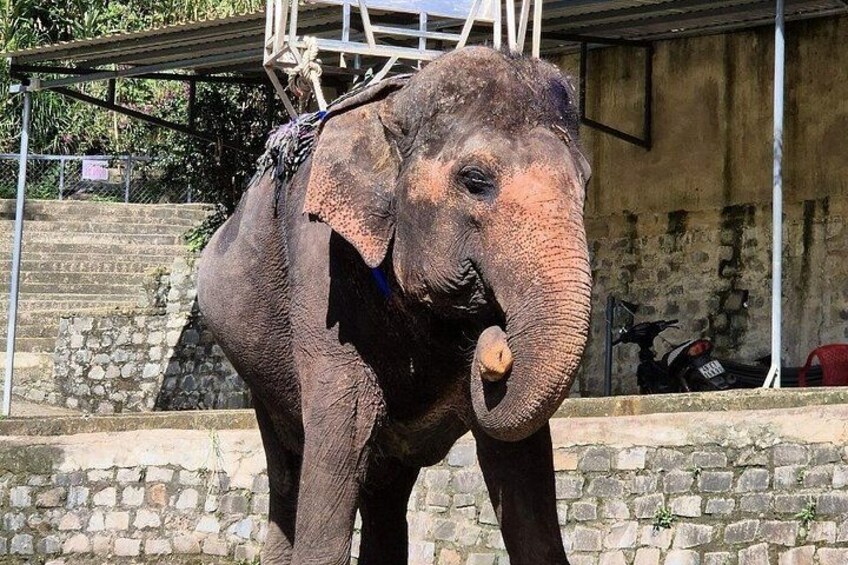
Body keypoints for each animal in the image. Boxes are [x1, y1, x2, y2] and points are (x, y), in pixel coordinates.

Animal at [197, 46, 592, 565]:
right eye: (476, 180)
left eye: (585, 182)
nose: (495, 340)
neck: (395, 108)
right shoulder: (321, 264)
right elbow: (347, 421)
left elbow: (521, 463)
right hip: (258, 372)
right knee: (289, 471)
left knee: (384, 492)